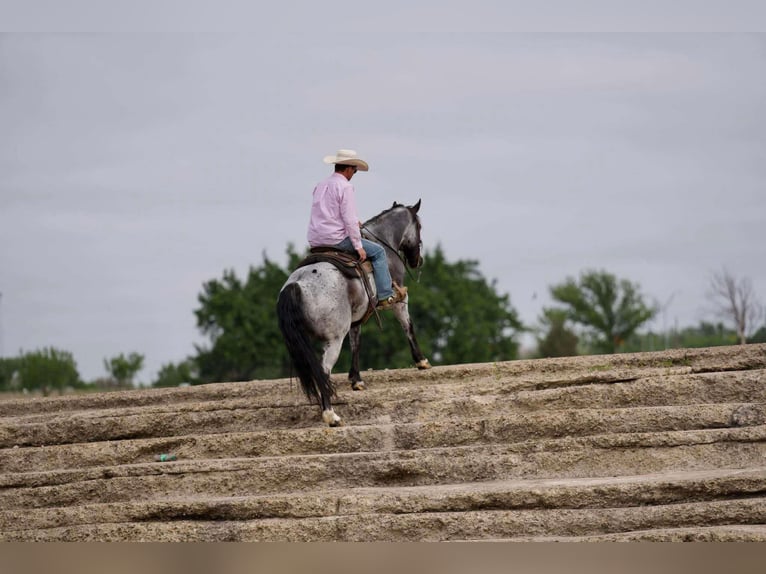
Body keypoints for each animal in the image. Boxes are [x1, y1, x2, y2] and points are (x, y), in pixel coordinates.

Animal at [276, 200, 430, 426]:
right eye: (419, 226)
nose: (417, 261)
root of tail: (297, 284)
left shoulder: (356, 318)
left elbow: (356, 343)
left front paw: (356, 380)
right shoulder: (400, 300)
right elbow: (407, 326)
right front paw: (421, 361)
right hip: (333, 340)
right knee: (323, 371)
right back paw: (331, 415)